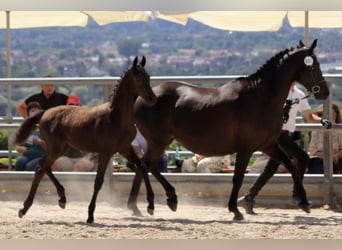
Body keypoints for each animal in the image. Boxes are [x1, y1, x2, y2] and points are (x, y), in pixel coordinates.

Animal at [14, 56, 156, 223]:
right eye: (138, 78)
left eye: (148, 77)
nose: (152, 98)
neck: (116, 117)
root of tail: (45, 112)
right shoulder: (105, 152)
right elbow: (98, 182)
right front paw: (90, 215)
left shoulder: (125, 148)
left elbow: (143, 167)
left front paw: (151, 206)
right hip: (56, 147)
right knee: (40, 167)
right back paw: (26, 208)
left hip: (61, 148)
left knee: (44, 167)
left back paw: (59, 199)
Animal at [127, 38, 328, 219]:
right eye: (315, 65)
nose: (325, 91)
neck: (261, 98)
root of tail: (143, 98)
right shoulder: (246, 148)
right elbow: (238, 178)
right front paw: (235, 209)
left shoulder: (267, 145)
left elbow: (290, 165)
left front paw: (303, 201)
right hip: (158, 141)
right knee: (148, 166)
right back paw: (163, 201)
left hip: (158, 142)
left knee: (142, 166)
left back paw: (136, 206)